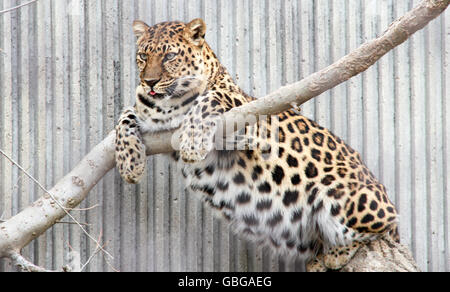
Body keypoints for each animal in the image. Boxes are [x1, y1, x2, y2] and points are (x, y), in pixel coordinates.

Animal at [114, 18, 400, 272]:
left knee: (381, 227)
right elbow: (124, 116)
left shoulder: (248, 118)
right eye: (143, 56)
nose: (149, 82)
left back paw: (336, 253)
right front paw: (129, 164)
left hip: (342, 194)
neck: (167, 105)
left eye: (170, 56)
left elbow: (209, 98)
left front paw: (193, 142)